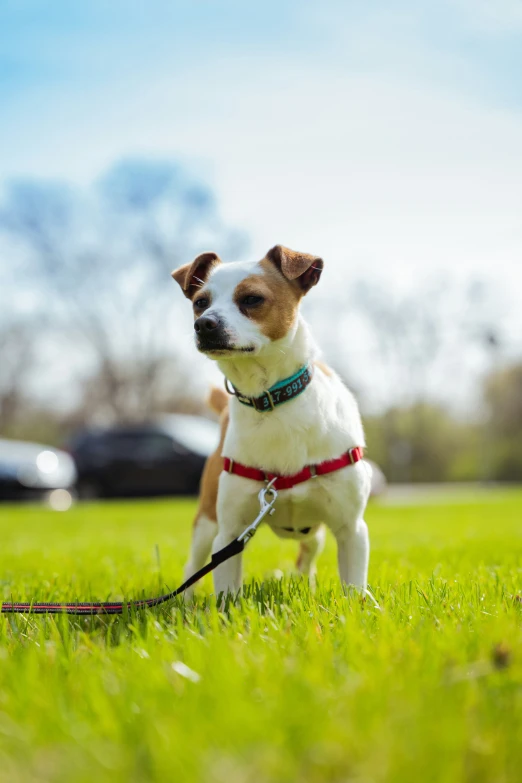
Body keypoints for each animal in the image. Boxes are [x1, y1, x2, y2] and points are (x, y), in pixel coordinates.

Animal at [171, 248, 370, 596]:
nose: (204, 323)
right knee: (193, 565)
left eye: (252, 299)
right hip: (206, 521)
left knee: (307, 556)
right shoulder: (229, 534)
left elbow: (354, 589)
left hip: (313, 534)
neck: (270, 399)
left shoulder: (352, 530)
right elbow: (226, 594)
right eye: (200, 301)